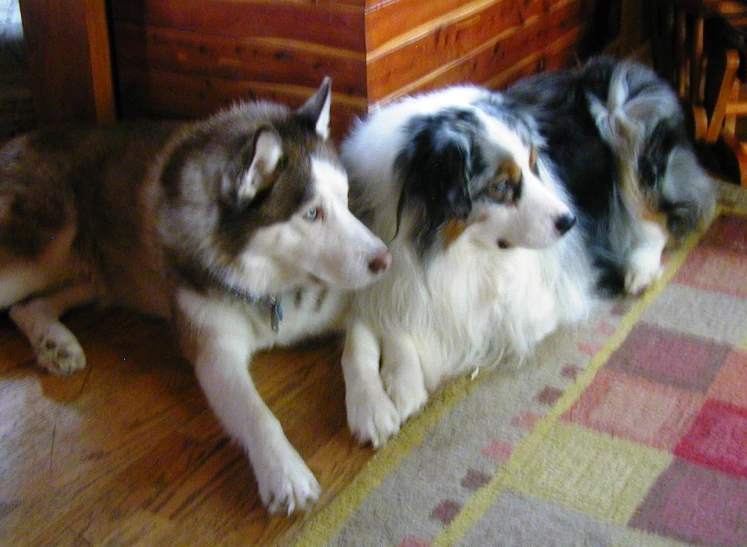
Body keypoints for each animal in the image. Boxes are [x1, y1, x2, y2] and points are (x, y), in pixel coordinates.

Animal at [340, 57, 720, 448]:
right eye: (501, 186)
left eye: (534, 164)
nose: (570, 221)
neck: (448, 248)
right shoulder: (378, 273)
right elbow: (361, 337)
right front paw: (373, 406)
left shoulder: (533, 301)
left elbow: (432, 326)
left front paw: (403, 380)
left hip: (627, 110)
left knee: (656, 219)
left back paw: (639, 269)